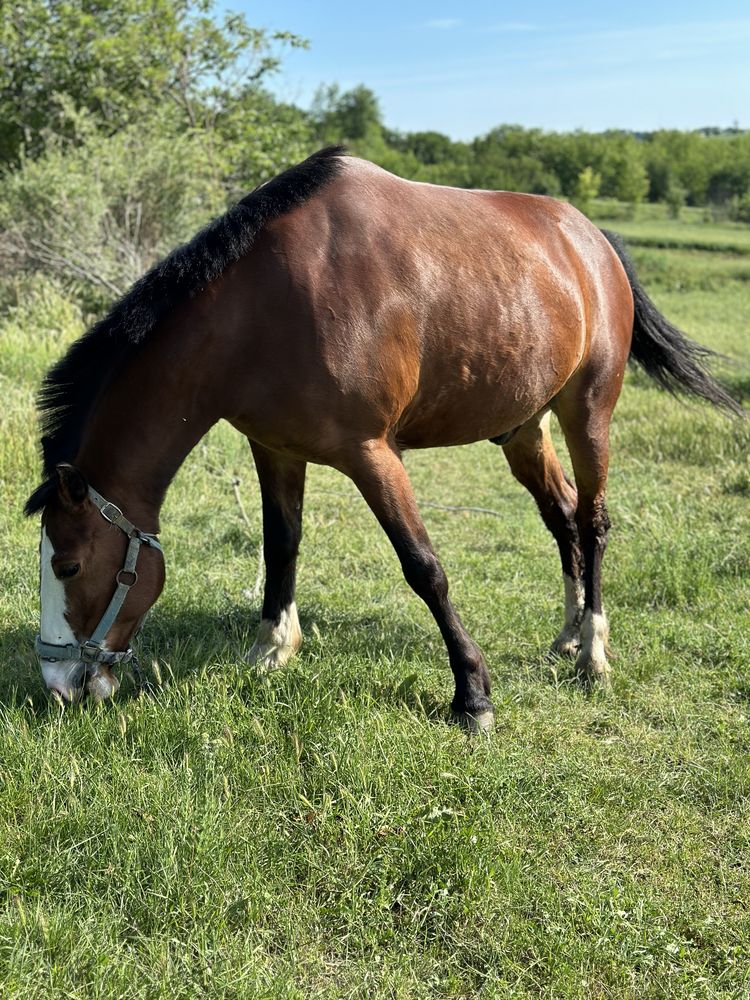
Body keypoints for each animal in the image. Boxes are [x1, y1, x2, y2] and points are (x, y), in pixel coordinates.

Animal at [23, 146, 740, 728]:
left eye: (68, 564)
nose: (57, 685)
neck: (264, 306)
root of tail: (592, 240)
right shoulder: (274, 449)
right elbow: (281, 546)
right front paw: (271, 649)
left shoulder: (372, 454)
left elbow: (425, 568)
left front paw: (472, 695)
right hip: (523, 429)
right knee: (561, 516)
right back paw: (565, 635)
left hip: (586, 412)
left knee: (592, 522)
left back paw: (592, 650)